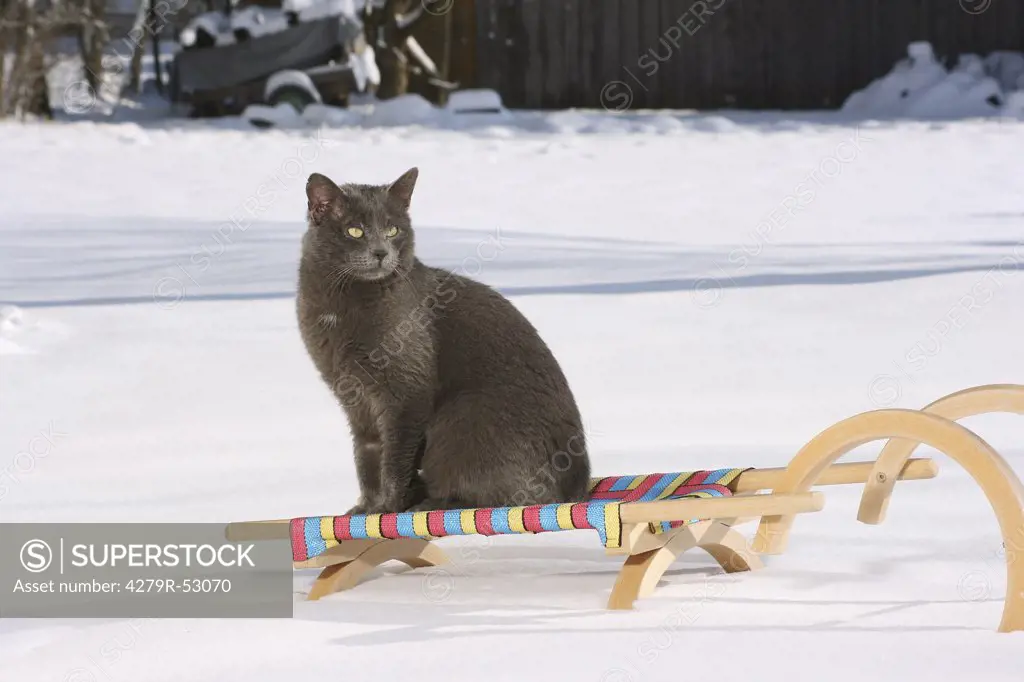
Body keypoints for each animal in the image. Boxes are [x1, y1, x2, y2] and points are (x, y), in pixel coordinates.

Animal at [294, 166, 593, 512]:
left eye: (393, 229)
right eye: (354, 231)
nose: (381, 252)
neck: (343, 305)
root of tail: (576, 491)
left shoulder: (407, 393)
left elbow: (395, 458)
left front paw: (388, 508)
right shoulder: (352, 395)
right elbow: (366, 454)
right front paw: (366, 508)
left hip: (460, 419)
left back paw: (429, 503)